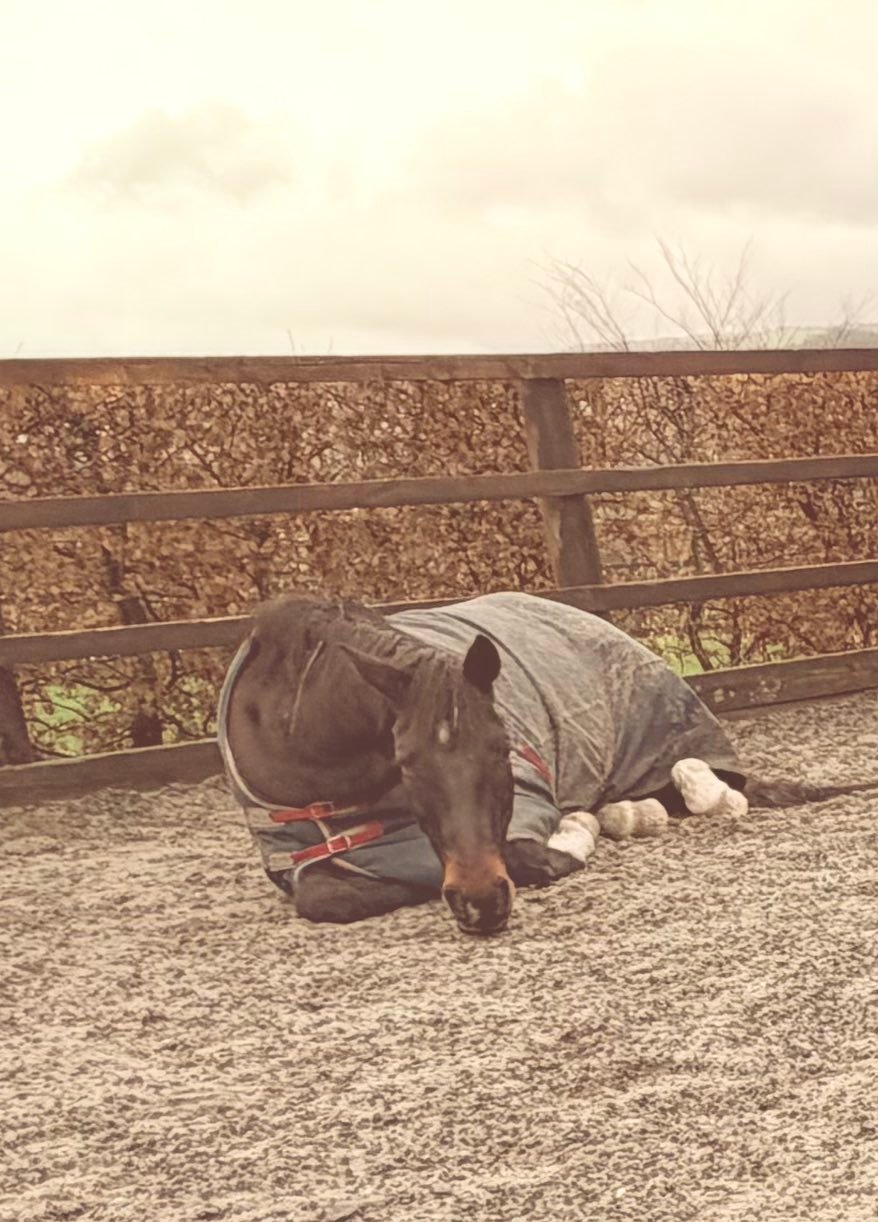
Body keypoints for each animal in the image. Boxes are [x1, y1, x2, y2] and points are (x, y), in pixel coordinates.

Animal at [217, 590, 874, 936]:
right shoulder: (301, 863)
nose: (480, 903)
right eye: (406, 763)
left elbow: (539, 856)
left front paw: (575, 835)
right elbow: (329, 899)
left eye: (503, 747)